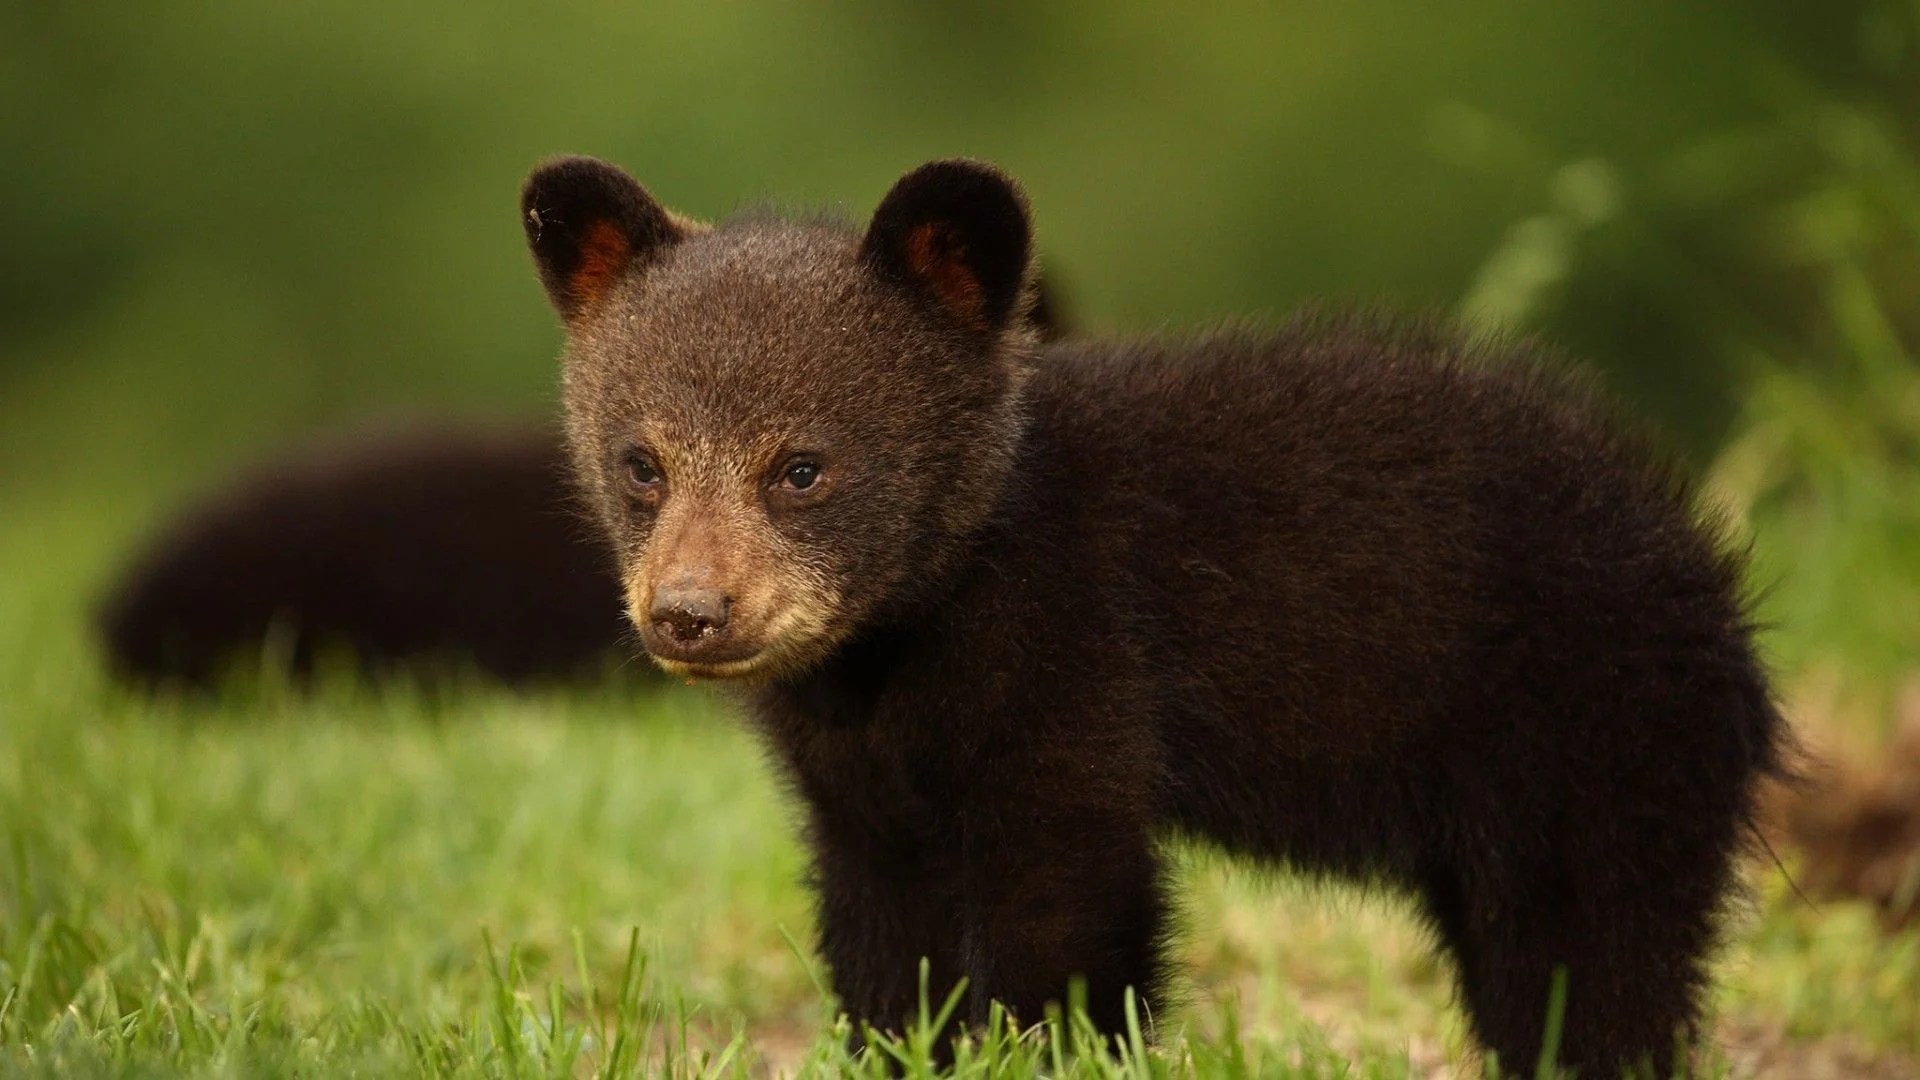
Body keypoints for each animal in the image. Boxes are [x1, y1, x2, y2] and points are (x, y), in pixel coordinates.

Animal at [520, 154, 1787, 1076]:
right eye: (640, 463)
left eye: (802, 468)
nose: (689, 612)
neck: (904, 643)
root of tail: (1716, 588)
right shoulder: (862, 777)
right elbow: (886, 932)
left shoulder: (1079, 663)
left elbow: (1070, 907)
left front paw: (1046, 1046)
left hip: (1594, 750)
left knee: (1597, 961)